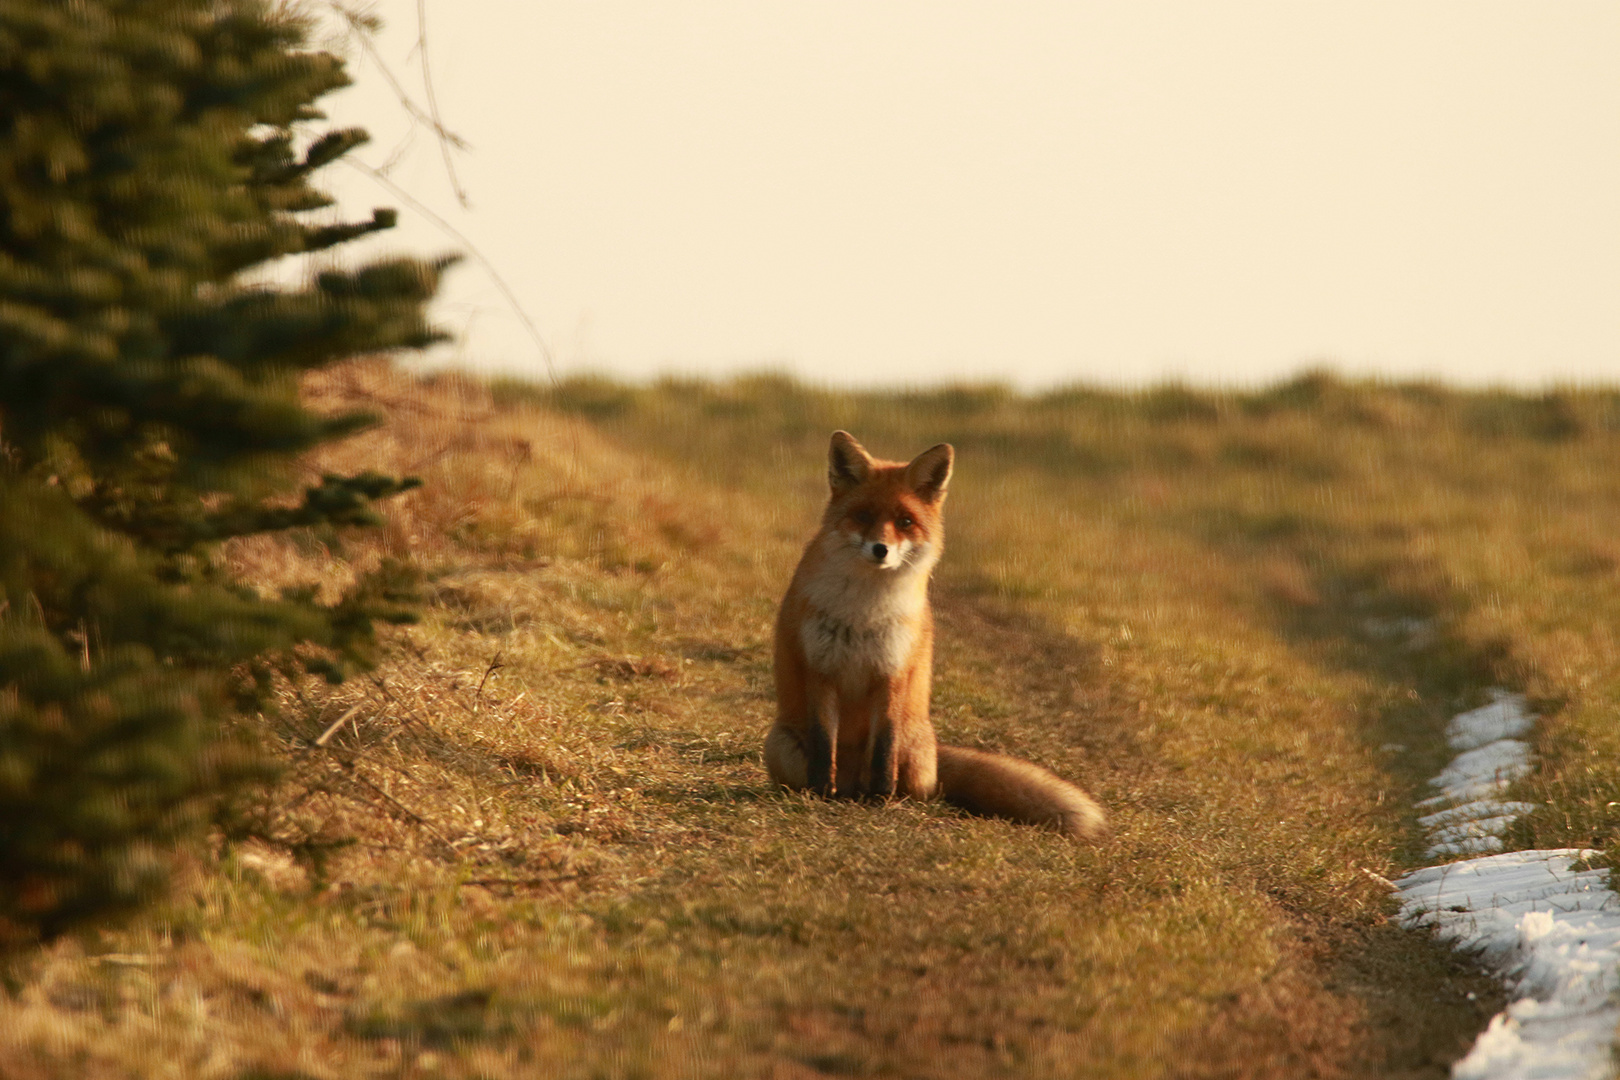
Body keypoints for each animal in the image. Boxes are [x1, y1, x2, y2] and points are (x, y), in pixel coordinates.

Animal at [764, 427, 1108, 841]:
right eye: (863, 516)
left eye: (905, 521)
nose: (880, 549)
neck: (864, 611)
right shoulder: (820, 669)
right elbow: (822, 745)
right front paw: (818, 793)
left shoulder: (894, 671)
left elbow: (884, 750)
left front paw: (881, 799)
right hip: (778, 745)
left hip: (913, 753)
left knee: (918, 787)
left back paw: (882, 797)